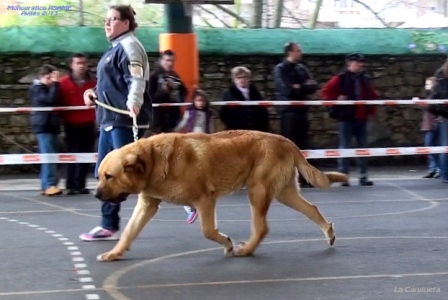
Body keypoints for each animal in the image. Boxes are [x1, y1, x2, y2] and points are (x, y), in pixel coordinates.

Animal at [93, 130, 346, 262]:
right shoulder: (147, 204)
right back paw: (329, 233)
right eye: (99, 176)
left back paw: (246, 250)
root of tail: (286, 141)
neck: (152, 160)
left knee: (262, 228)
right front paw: (114, 253)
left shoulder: (205, 199)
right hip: (284, 193)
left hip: (257, 191)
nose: (95, 194)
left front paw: (227, 243)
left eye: (109, 176)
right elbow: (129, 232)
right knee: (312, 209)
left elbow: (208, 231)